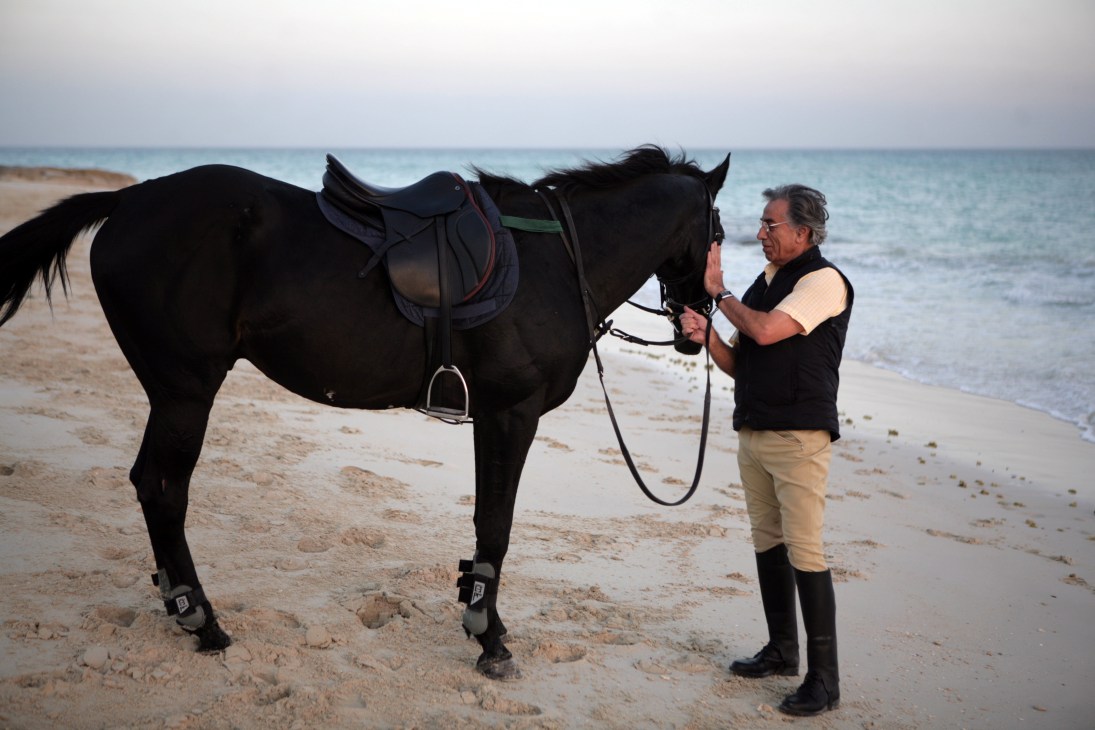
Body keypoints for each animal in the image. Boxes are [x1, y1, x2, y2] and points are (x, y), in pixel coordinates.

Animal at [0, 145, 729, 680]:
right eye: (720, 231)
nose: (698, 327)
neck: (557, 259)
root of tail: (128, 199)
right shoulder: (510, 412)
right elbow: (496, 525)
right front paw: (488, 637)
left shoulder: (492, 416)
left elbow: (485, 523)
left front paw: (480, 614)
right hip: (185, 391)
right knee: (162, 489)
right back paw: (202, 620)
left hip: (171, 392)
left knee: (150, 486)